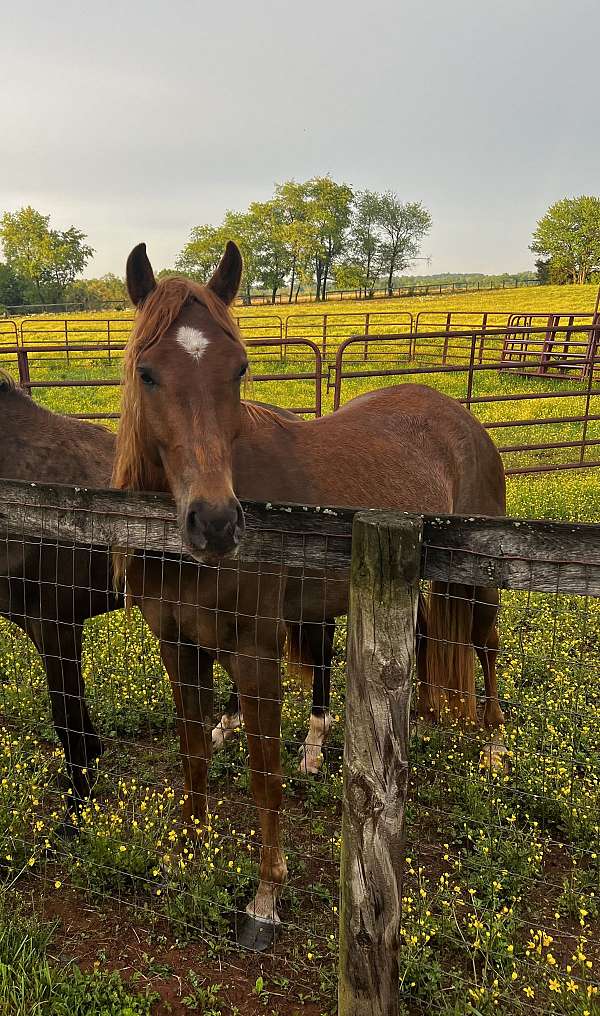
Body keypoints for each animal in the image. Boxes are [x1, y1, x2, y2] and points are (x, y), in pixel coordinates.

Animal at [112, 239, 507, 950]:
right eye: (148, 374)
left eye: (239, 371)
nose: (216, 523)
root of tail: (462, 417)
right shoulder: (179, 648)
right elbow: (192, 752)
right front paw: (188, 850)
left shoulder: (255, 654)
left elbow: (263, 772)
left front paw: (265, 897)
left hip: (478, 580)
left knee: (487, 646)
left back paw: (492, 745)